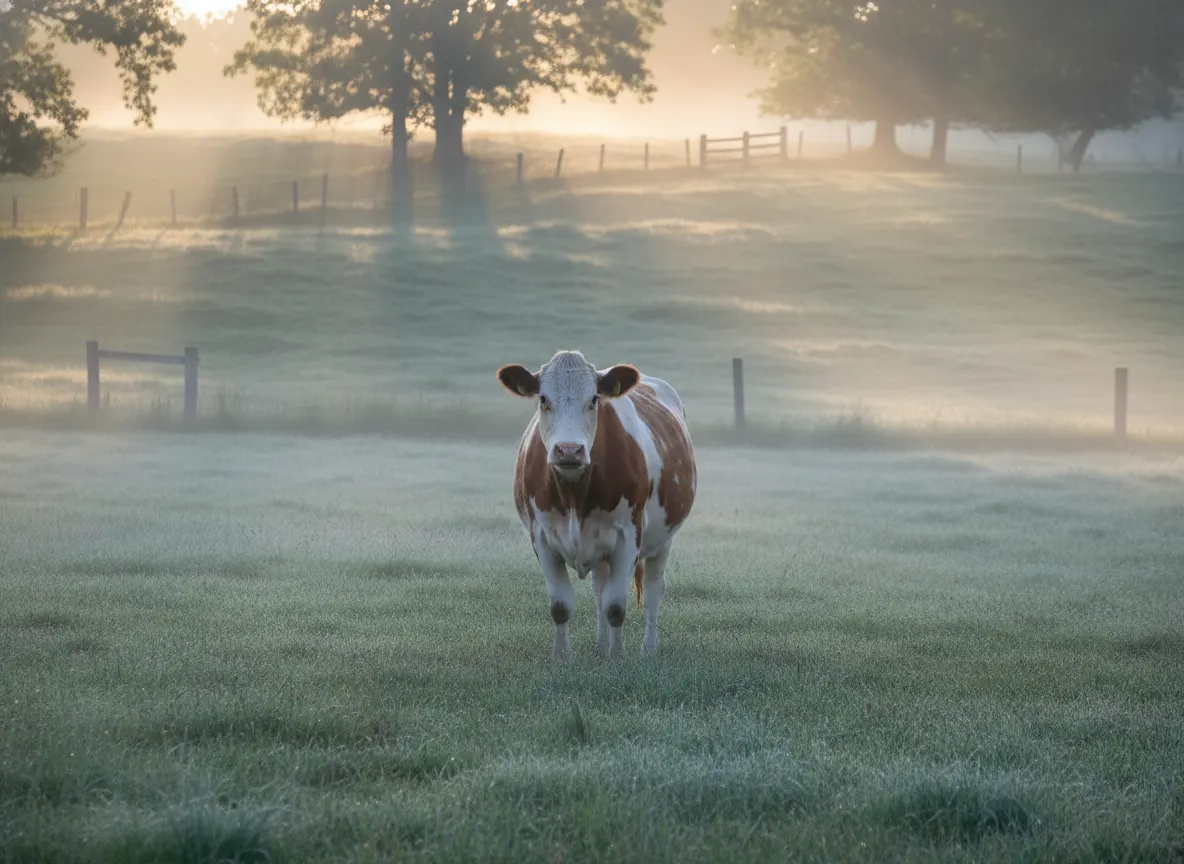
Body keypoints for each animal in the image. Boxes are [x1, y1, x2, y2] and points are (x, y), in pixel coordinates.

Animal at [496, 350, 697, 660]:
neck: (574, 495)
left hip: (663, 539)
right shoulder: (540, 536)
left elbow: (615, 606)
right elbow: (561, 605)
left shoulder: (629, 536)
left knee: (653, 589)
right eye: (543, 399)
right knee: (599, 588)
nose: (569, 450)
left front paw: (617, 657)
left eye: (593, 399)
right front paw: (562, 657)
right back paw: (600, 646)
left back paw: (648, 648)